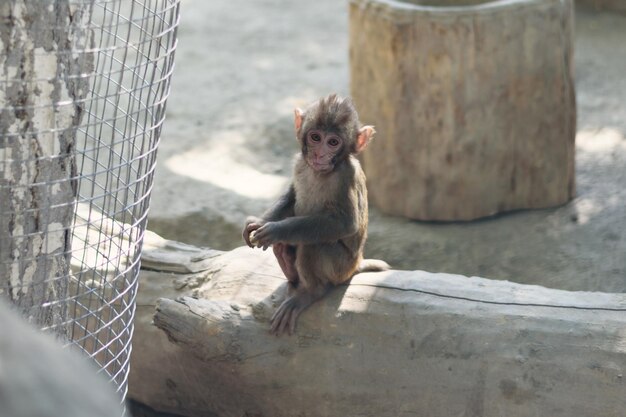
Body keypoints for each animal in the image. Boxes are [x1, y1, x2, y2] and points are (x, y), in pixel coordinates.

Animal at [241, 93, 388, 334]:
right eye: (316, 137)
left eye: (333, 142)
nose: (320, 154)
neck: (320, 172)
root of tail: (356, 264)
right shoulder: (300, 163)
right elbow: (292, 195)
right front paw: (260, 222)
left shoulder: (345, 176)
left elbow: (345, 223)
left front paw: (275, 229)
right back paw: (287, 266)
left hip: (341, 267)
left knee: (314, 244)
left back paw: (311, 291)